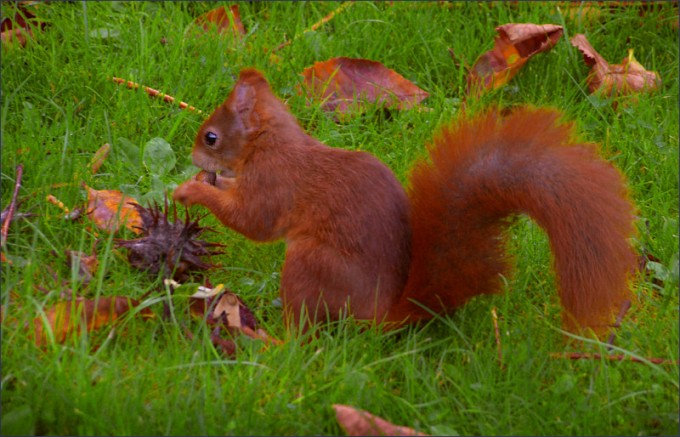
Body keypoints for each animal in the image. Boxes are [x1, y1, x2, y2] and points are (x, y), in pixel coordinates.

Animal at [173, 68, 637, 335]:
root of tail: (382, 315)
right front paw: (205, 181)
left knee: (304, 327)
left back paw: (270, 336)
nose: (194, 158)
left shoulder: (274, 184)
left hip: (309, 266)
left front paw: (192, 190)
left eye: (211, 137)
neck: (271, 142)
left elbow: (253, 221)